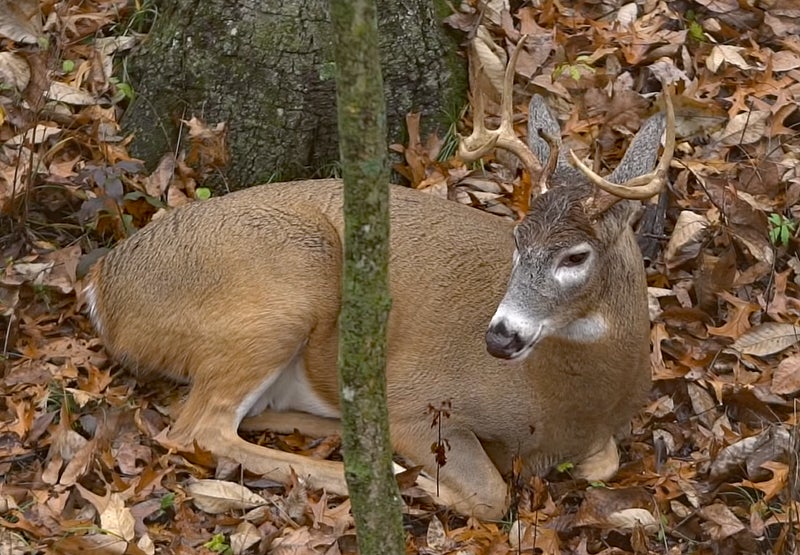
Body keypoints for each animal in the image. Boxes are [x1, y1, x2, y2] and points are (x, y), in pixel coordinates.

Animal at [84, 39, 676, 520]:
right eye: (517, 237)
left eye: (575, 255)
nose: (500, 336)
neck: (569, 405)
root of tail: (102, 287)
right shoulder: (419, 395)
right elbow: (490, 494)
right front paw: (426, 481)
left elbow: (603, 462)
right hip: (288, 286)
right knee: (196, 428)